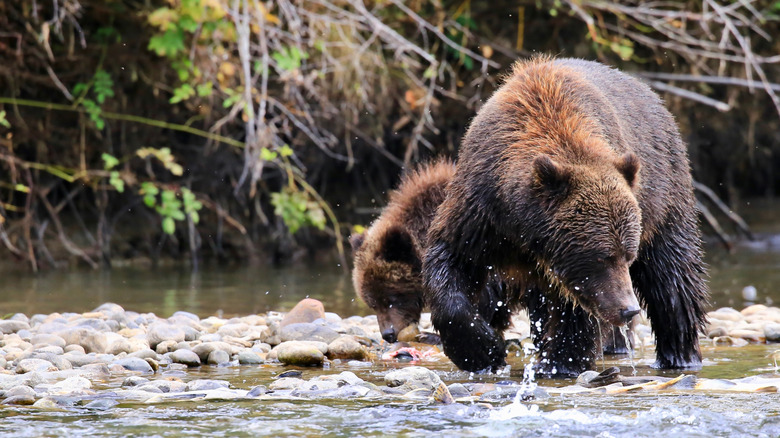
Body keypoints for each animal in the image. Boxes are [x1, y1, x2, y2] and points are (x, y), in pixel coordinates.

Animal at [423, 57, 709, 376]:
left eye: (628, 255)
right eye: (604, 256)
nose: (628, 308)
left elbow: (573, 310)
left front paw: (563, 362)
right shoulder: (481, 210)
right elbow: (452, 259)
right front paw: (482, 350)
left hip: (664, 197)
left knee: (672, 279)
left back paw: (679, 354)